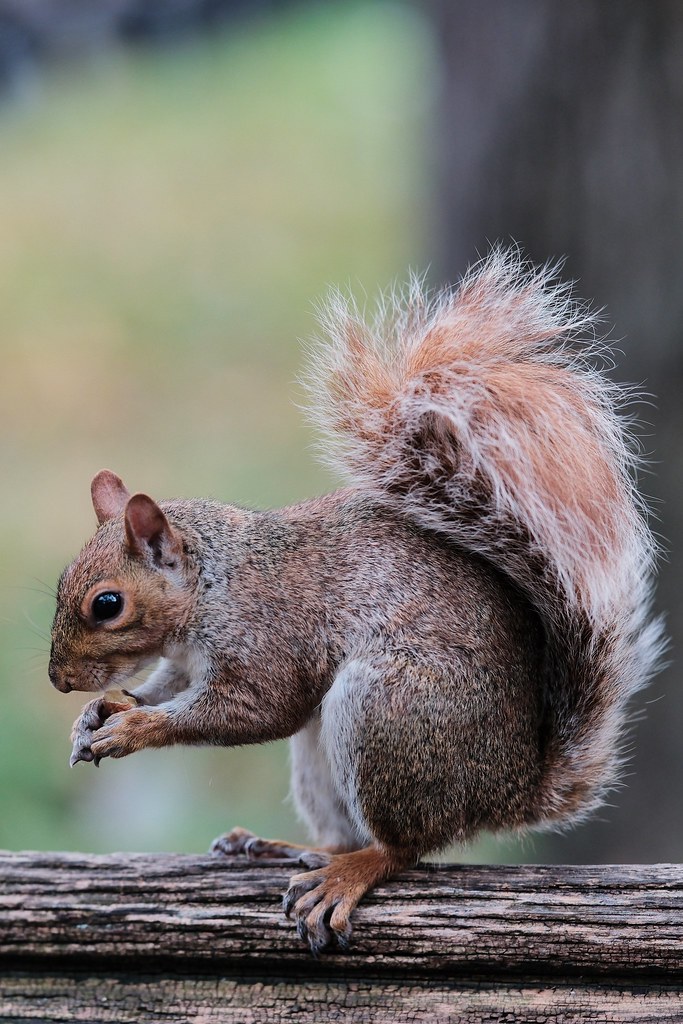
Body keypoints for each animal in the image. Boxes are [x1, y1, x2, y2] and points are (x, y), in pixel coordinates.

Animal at [49, 248, 663, 954]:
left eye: (107, 604)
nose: (59, 679)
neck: (214, 586)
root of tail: (506, 791)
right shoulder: (183, 663)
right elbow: (160, 688)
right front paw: (101, 712)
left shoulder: (268, 637)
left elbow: (256, 710)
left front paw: (134, 727)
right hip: (327, 751)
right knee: (344, 833)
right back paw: (279, 846)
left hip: (387, 715)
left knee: (404, 847)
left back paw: (348, 873)